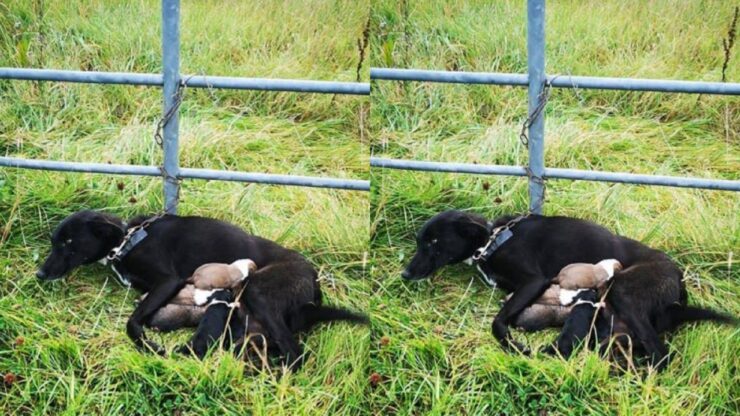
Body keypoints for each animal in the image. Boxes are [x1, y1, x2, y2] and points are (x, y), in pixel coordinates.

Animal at [402, 211, 736, 370]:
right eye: (420, 241)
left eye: (433, 242)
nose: (405, 274)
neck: (492, 240)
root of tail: (679, 283)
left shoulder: (533, 281)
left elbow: (497, 322)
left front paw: (515, 346)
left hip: (623, 291)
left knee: (660, 355)